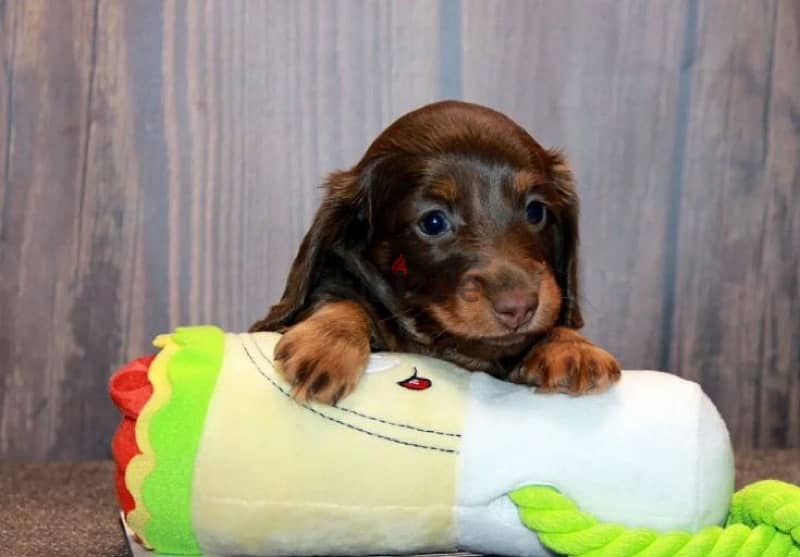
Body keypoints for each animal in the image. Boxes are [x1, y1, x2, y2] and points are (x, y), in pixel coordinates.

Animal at [250, 101, 620, 404]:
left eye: (536, 211)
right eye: (433, 222)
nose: (519, 308)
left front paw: (572, 345)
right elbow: (342, 298)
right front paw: (327, 343)